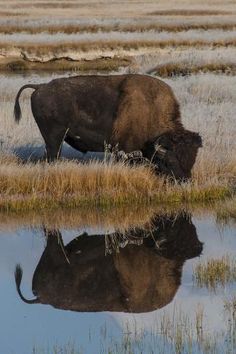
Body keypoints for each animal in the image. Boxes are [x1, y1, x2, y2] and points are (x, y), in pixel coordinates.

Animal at [13, 74, 201, 180]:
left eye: (192, 159)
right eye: (170, 161)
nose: (184, 180)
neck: (150, 108)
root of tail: (40, 87)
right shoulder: (126, 151)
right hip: (54, 138)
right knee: (52, 155)